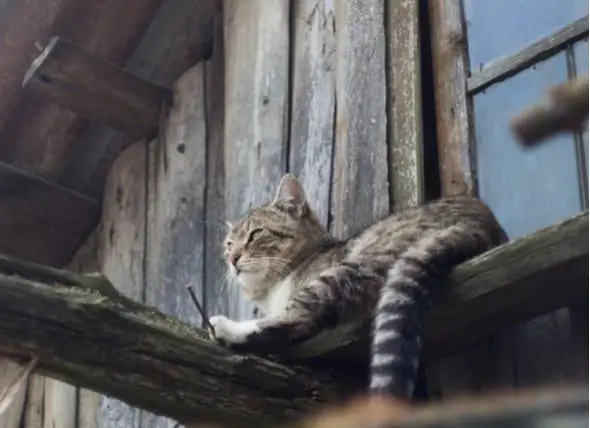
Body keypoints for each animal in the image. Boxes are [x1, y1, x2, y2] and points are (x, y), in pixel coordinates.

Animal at [209, 173, 508, 398]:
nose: (232, 258)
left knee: (297, 321)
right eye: (228, 244)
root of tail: (481, 224)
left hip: (352, 268)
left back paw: (226, 329)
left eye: (255, 234)